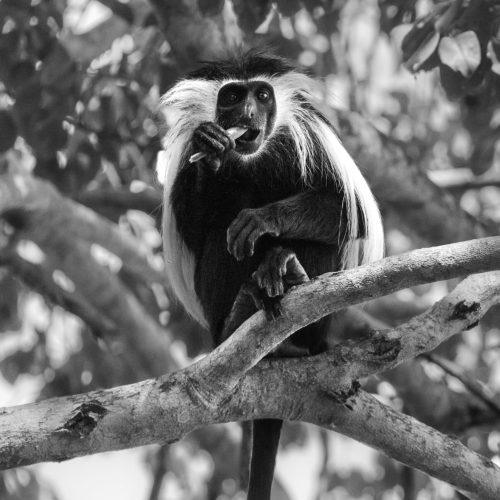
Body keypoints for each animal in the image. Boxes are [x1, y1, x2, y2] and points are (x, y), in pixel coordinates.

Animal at [160, 50, 382, 500]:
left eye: (262, 96)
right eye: (231, 96)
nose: (247, 113)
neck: (253, 159)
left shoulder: (312, 137)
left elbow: (347, 214)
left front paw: (263, 221)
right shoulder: (186, 157)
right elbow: (194, 226)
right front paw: (212, 149)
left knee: (322, 239)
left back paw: (285, 272)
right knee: (219, 235)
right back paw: (241, 314)